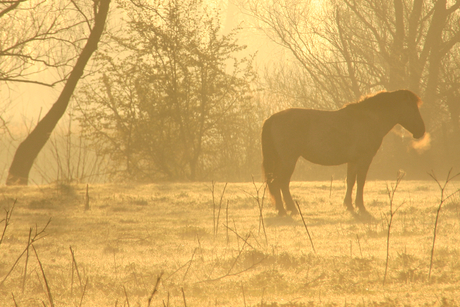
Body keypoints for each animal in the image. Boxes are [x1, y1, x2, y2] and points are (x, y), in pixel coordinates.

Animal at [260, 89, 426, 217]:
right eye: (412, 108)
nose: (421, 130)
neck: (368, 119)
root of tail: (272, 118)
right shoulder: (364, 159)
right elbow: (360, 182)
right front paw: (361, 206)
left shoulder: (352, 161)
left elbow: (350, 181)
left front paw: (349, 205)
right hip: (289, 160)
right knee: (280, 182)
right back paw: (287, 210)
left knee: (276, 183)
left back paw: (283, 209)